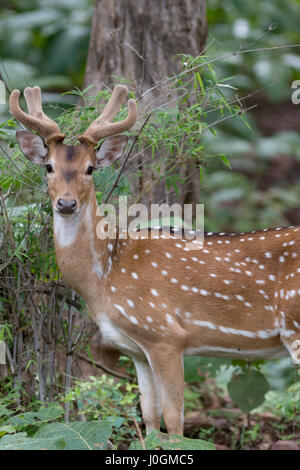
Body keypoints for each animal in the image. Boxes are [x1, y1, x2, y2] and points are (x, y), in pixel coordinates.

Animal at [8, 85, 300, 436]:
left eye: (91, 168)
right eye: (48, 166)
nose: (66, 203)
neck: (105, 276)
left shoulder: (164, 334)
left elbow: (174, 420)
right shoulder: (136, 348)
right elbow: (149, 415)